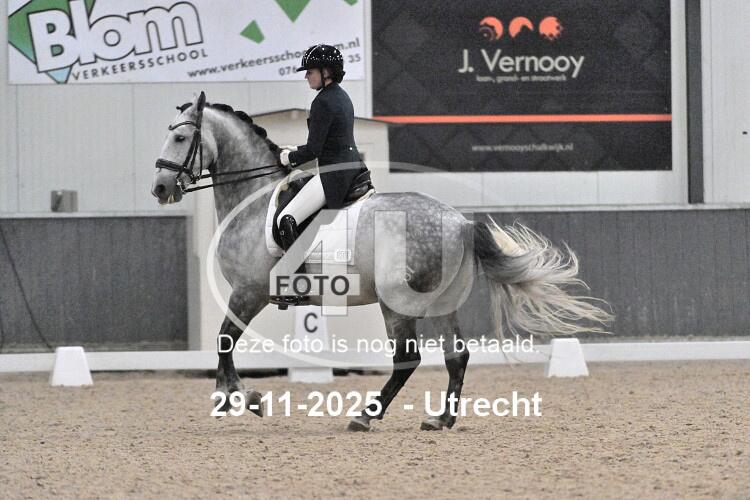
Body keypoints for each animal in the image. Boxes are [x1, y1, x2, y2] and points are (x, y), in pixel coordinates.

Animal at [151, 92, 612, 432]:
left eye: (180, 139)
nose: (160, 188)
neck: (253, 200)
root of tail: (459, 222)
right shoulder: (247, 294)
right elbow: (224, 342)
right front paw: (230, 397)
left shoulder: (249, 292)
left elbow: (224, 340)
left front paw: (240, 398)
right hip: (441, 302)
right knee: (456, 355)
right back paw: (440, 420)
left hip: (397, 303)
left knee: (408, 359)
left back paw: (364, 417)